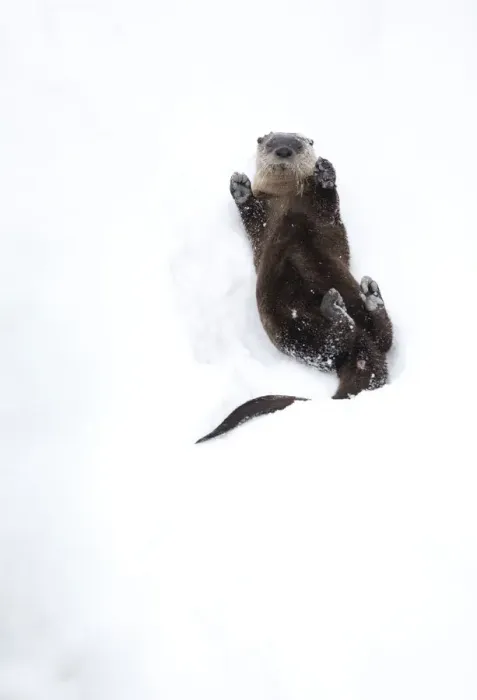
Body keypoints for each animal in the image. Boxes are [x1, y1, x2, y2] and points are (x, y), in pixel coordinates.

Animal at [195, 131, 393, 444]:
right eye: (271, 142)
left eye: (297, 143)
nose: (284, 150)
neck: (286, 199)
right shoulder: (262, 221)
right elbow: (251, 211)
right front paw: (240, 188)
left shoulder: (321, 210)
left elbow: (329, 199)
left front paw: (325, 173)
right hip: (292, 328)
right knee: (339, 343)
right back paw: (341, 308)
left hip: (338, 304)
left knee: (381, 338)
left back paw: (369, 297)